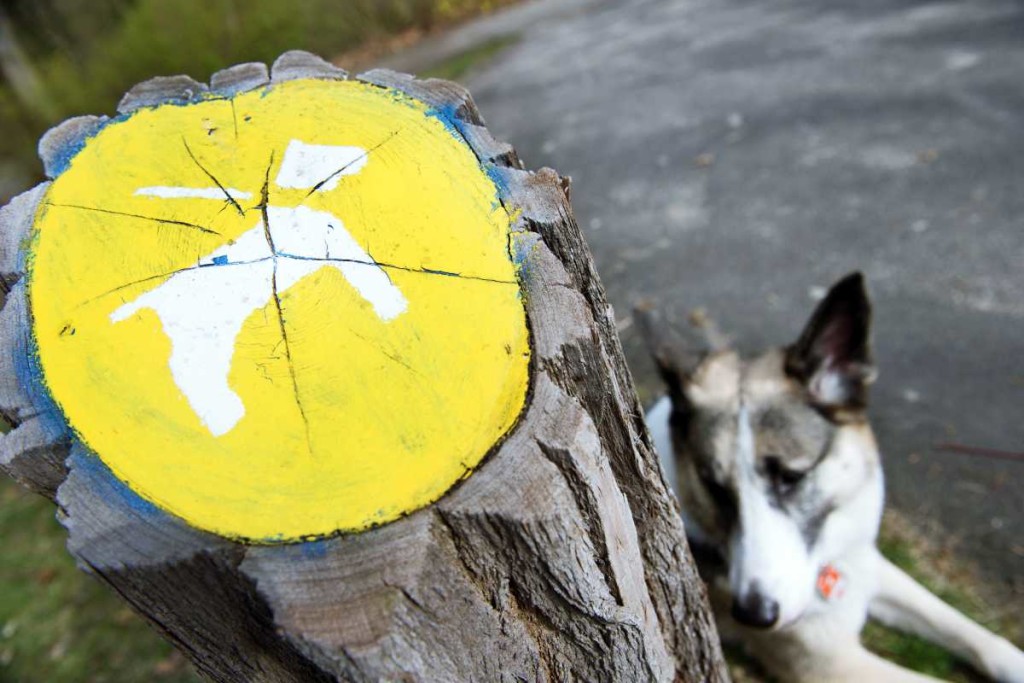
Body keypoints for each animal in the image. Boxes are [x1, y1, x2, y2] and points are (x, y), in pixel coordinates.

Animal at [638, 274, 1024, 683]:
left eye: (792, 476)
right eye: (713, 487)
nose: (754, 616)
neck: (827, 561)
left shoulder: (868, 562)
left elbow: (967, 629)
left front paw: (1013, 660)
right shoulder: (830, 664)